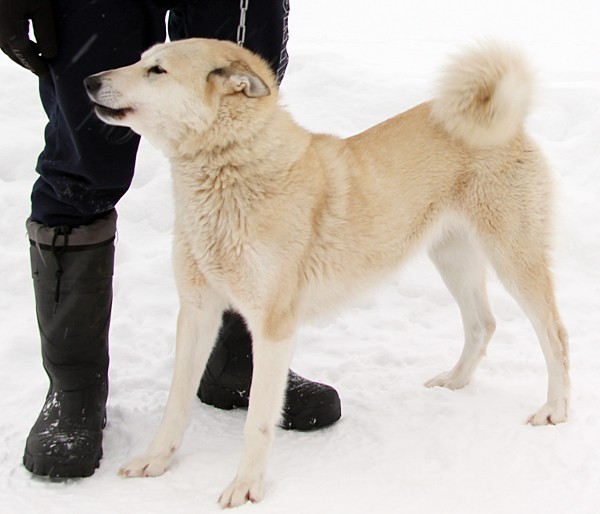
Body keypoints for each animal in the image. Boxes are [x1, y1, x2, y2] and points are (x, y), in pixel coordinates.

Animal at [85, 38, 569, 508]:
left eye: (157, 70)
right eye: (142, 60)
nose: (89, 80)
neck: (232, 172)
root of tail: (500, 119)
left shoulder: (274, 326)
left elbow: (258, 420)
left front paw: (246, 485)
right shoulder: (198, 310)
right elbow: (176, 402)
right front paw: (155, 459)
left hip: (513, 257)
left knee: (555, 334)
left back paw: (556, 409)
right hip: (451, 257)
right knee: (483, 323)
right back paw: (455, 380)